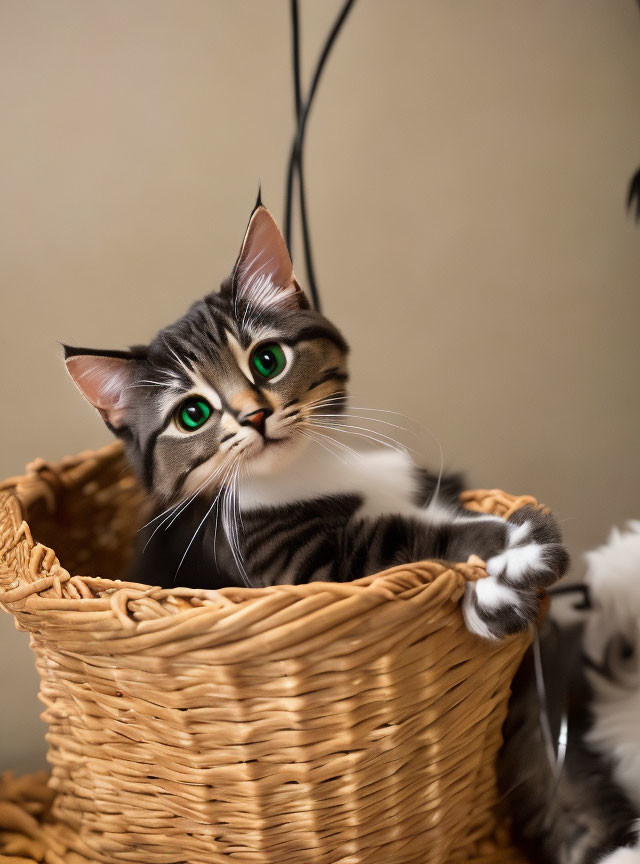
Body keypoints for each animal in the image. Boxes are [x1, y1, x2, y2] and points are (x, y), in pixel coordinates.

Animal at [62, 196, 568, 640]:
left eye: (267, 360)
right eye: (193, 414)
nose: (255, 416)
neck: (313, 467)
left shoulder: (418, 483)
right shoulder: (299, 568)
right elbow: (399, 542)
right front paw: (516, 544)